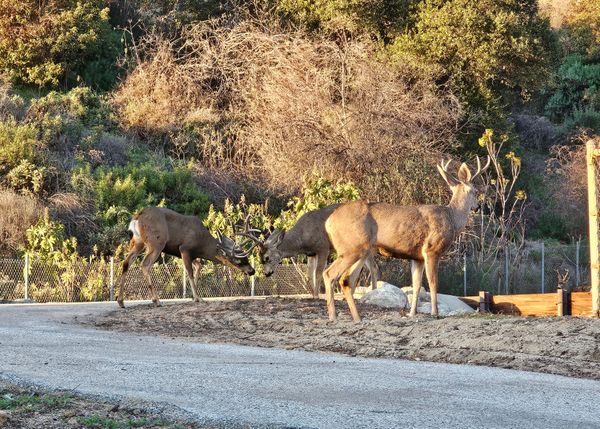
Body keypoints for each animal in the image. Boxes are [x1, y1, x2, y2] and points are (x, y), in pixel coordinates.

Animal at [116, 206, 255, 308]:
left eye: (246, 258)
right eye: (238, 261)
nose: (252, 271)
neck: (202, 244)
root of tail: (137, 217)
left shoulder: (189, 254)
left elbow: (198, 266)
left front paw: (194, 297)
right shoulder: (184, 249)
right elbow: (189, 272)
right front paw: (198, 298)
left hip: (138, 241)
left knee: (126, 262)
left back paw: (121, 301)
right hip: (156, 242)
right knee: (145, 264)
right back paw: (156, 300)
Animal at [237, 206, 378, 300]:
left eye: (267, 257)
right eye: (260, 258)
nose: (267, 273)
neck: (303, 237)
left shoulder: (323, 248)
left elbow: (319, 273)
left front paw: (317, 296)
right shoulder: (311, 253)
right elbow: (310, 274)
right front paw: (313, 295)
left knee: (373, 267)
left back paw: (373, 292)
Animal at [324, 157, 488, 320]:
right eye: (475, 191)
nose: (477, 207)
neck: (452, 218)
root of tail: (329, 222)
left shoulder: (417, 257)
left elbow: (416, 285)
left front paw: (412, 313)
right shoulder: (432, 250)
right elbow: (433, 282)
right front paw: (435, 313)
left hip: (361, 251)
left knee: (346, 280)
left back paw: (357, 317)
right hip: (351, 248)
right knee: (329, 274)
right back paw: (333, 316)